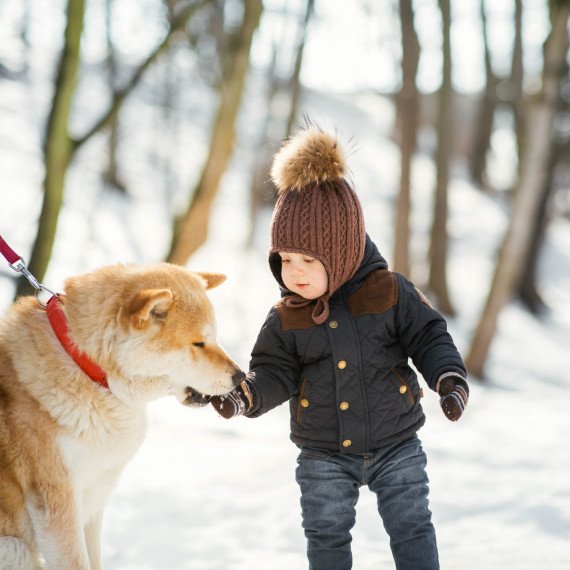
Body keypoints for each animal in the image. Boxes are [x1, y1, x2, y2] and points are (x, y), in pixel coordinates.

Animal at [0, 260, 242, 564]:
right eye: (198, 343)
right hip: (15, 548)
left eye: (214, 338)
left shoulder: (93, 505)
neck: (89, 371)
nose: (241, 376)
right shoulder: (58, 508)